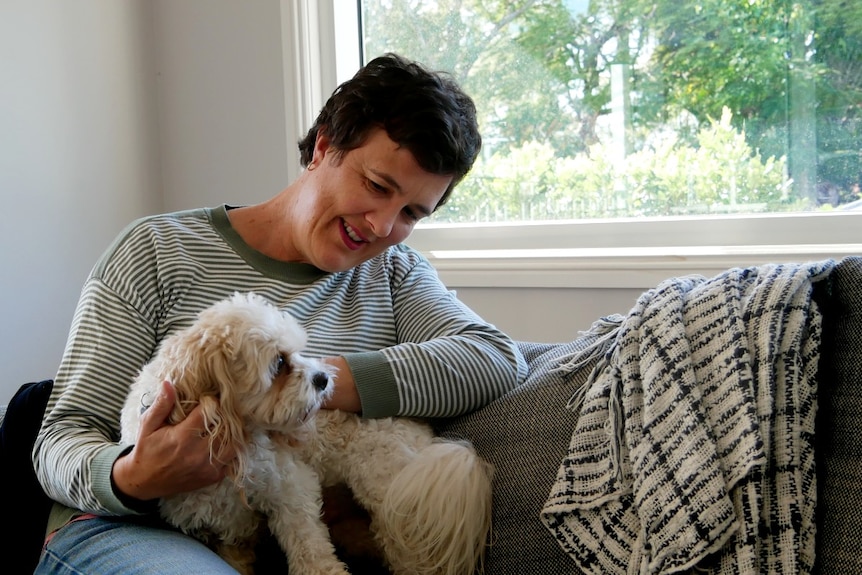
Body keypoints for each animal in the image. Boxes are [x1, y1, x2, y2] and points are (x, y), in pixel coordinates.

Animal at [120, 294, 492, 572]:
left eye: (298, 352)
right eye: (279, 363)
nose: (324, 378)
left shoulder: (290, 488)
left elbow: (309, 546)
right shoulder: (226, 526)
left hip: (392, 491)